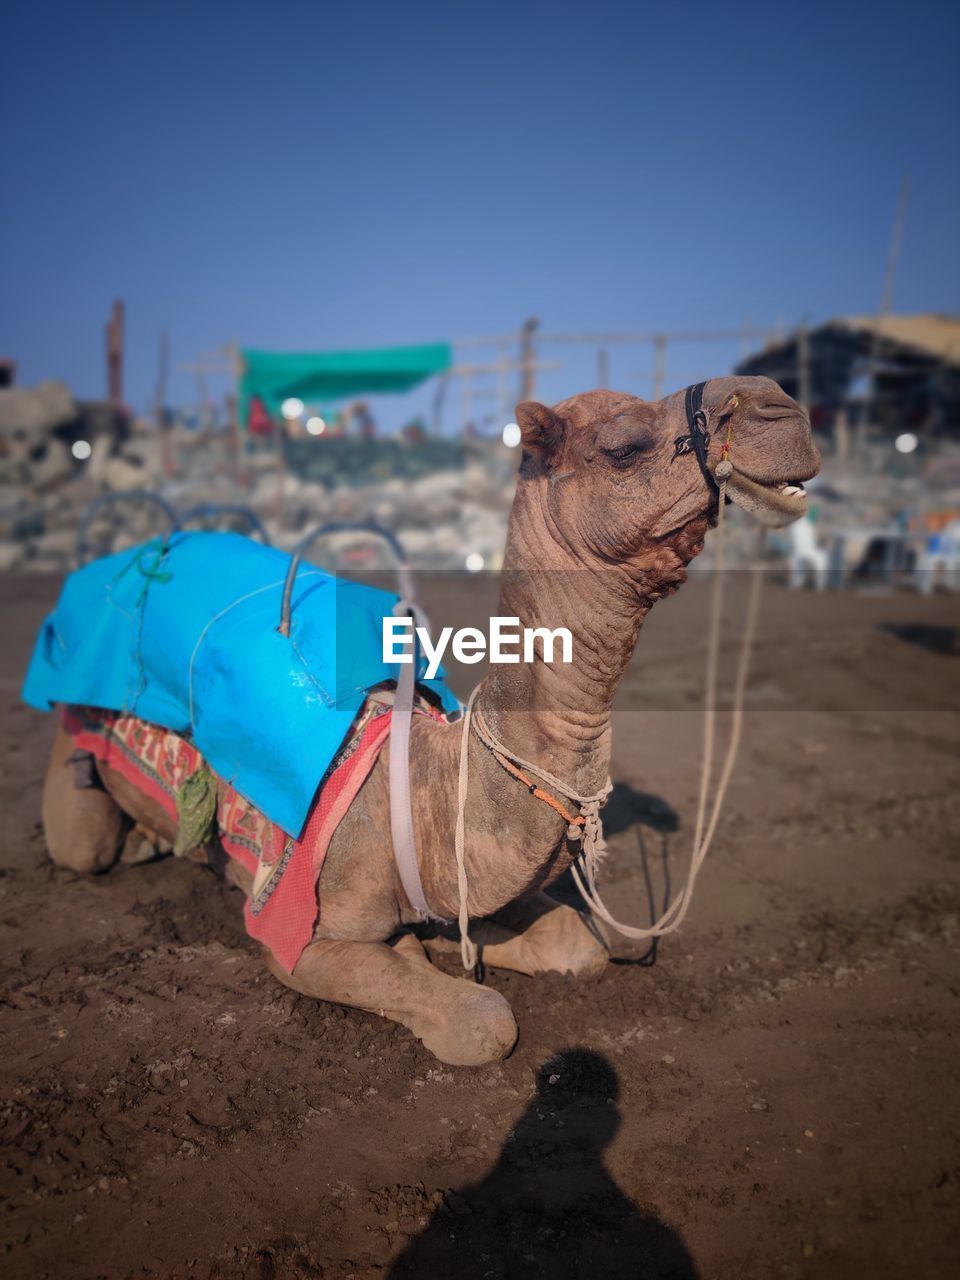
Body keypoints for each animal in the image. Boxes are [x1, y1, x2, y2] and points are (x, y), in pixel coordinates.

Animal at [43, 373, 819, 1064]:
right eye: (625, 445)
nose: (781, 406)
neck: (430, 787)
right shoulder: (295, 932)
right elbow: (482, 1023)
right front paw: (434, 961)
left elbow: (579, 946)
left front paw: (453, 941)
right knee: (84, 841)